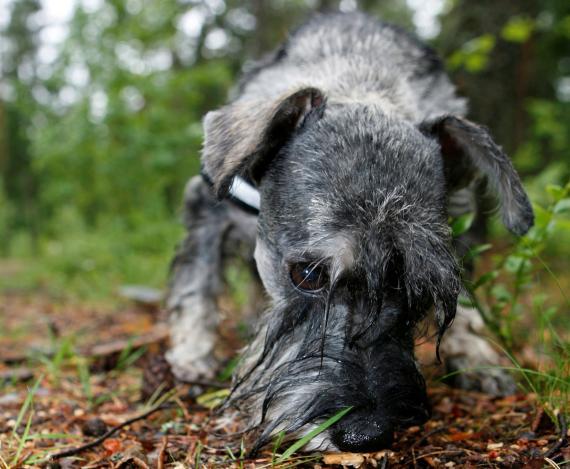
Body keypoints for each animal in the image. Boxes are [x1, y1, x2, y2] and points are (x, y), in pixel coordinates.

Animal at [164, 12, 532, 454]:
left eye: (418, 289)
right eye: (307, 274)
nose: (366, 433)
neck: (360, 85)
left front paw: (474, 353)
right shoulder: (208, 208)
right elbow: (196, 286)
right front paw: (192, 354)